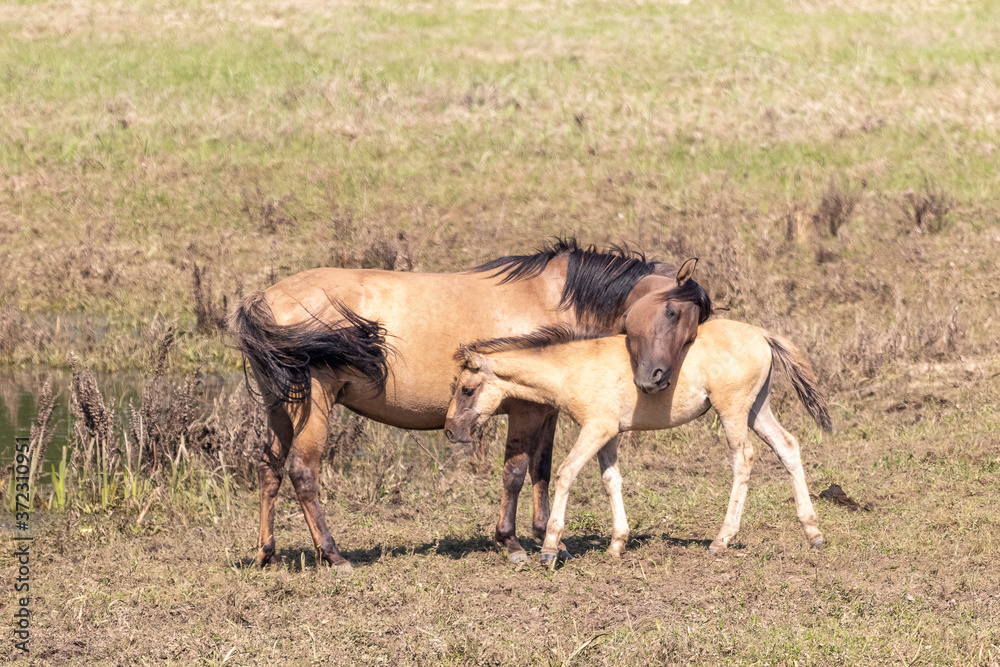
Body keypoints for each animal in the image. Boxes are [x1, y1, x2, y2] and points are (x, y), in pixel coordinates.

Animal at [230, 239, 712, 570]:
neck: (553, 299)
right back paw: (334, 556)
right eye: (670, 312)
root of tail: (262, 301)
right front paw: (512, 543)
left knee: (270, 469)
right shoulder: (525, 410)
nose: (656, 379)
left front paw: (547, 538)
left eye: (694, 330)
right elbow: (515, 472)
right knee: (302, 472)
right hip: (313, 407)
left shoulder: (547, 411)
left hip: (279, 407)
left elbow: (540, 471)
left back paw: (266, 554)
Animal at [444, 318, 831, 567]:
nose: (450, 430)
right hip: (756, 409)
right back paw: (812, 532)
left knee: (744, 458)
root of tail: (762, 334)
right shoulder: (609, 436)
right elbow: (611, 481)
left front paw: (551, 550)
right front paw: (618, 544)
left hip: (732, 411)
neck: (572, 367)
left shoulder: (596, 429)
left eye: (467, 389)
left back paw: (721, 540)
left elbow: (566, 473)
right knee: (787, 446)